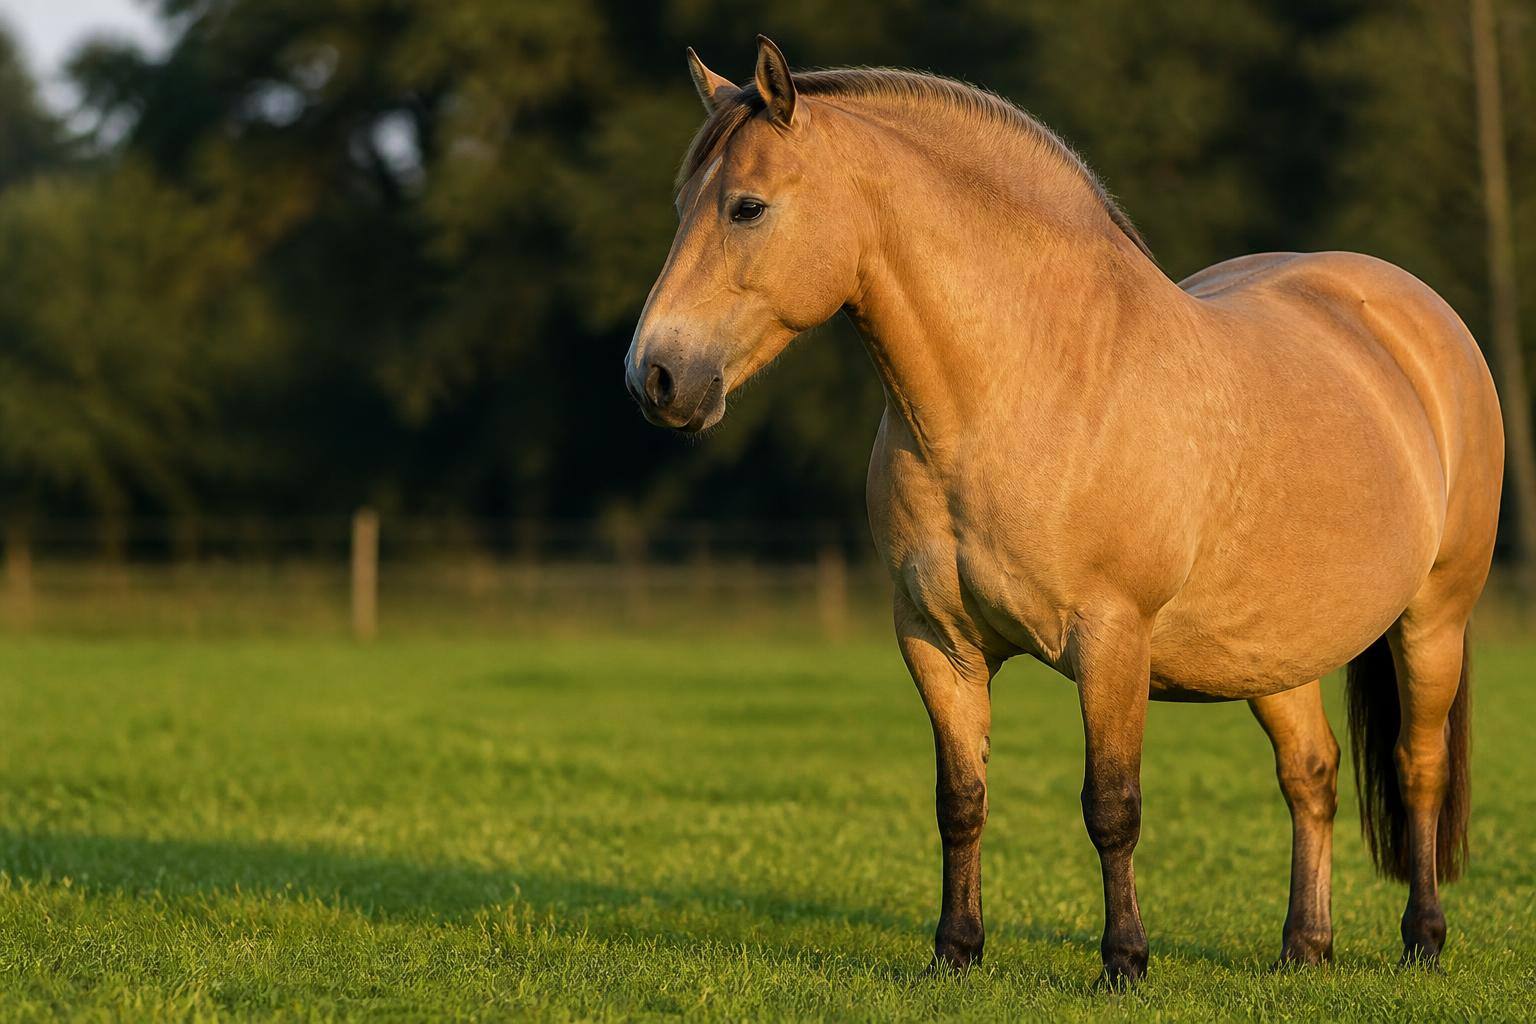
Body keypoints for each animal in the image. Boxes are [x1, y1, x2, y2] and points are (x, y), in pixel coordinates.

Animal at [624, 36, 1503, 986]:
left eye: (747, 208)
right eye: (683, 206)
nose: (656, 378)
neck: (1024, 389)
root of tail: (1416, 317)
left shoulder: (1111, 641)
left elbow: (1111, 805)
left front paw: (1124, 962)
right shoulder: (937, 642)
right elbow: (960, 799)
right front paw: (955, 953)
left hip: (1433, 618)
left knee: (1418, 769)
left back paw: (1423, 939)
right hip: (1275, 651)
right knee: (1311, 772)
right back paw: (1304, 949)